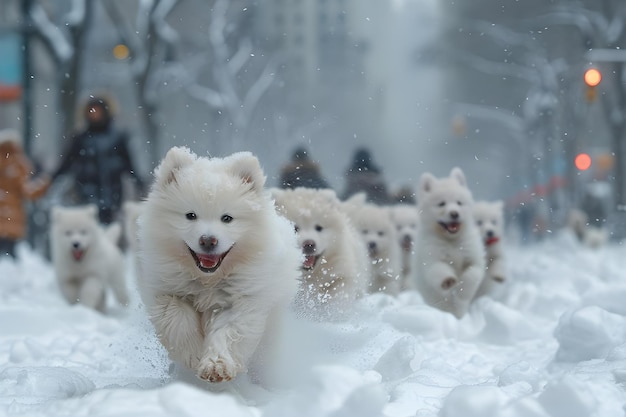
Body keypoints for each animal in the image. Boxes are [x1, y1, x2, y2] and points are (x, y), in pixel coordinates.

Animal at [137, 146, 302, 384]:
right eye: (190, 215)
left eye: (227, 218)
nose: (208, 240)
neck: (208, 280)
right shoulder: (166, 291)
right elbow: (178, 319)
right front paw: (194, 356)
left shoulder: (241, 301)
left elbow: (228, 332)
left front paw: (216, 366)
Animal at [270, 185, 368, 316]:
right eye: (295, 227)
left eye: (318, 228)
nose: (308, 244)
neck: (310, 276)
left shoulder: (341, 274)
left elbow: (336, 298)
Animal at [412, 167, 486, 316]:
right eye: (441, 203)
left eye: (459, 203)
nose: (454, 213)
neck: (452, 241)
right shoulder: (431, 258)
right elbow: (439, 270)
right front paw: (448, 281)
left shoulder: (474, 258)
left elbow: (471, 276)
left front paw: (461, 292)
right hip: (430, 293)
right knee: (442, 303)